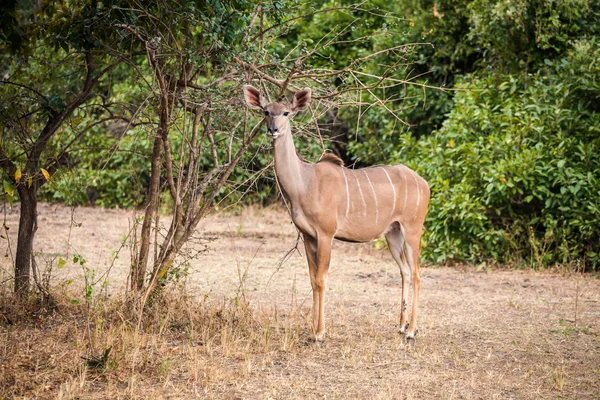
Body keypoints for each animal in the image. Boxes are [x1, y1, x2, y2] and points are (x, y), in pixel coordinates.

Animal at [244, 85, 432, 344]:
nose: (272, 129)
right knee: (404, 270)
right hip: (393, 232)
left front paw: (320, 334)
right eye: (265, 111)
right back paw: (401, 327)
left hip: (413, 227)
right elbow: (312, 279)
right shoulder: (308, 236)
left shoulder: (326, 233)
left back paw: (412, 332)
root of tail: (424, 183)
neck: (304, 183)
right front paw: (311, 330)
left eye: (286, 113)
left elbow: (321, 279)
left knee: (416, 274)